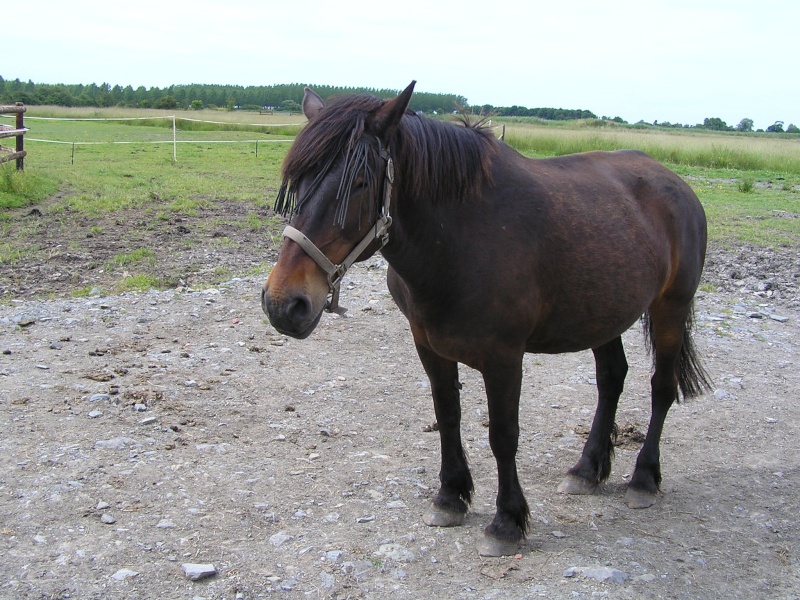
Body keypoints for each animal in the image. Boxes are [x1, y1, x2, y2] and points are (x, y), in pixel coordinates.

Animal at [262, 81, 712, 556]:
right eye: (297, 182)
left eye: (361, 183)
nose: (284, 303)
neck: (461, 239)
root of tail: (676, 184)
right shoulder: (428, 345)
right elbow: (448, 416)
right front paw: (450, 497)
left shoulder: (504, 357)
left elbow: (503, 435)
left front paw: (507, 521)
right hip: (604, 314)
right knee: (611, 379)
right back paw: (587, 470)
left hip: (670, 307)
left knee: (661, 387)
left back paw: (644, 478)